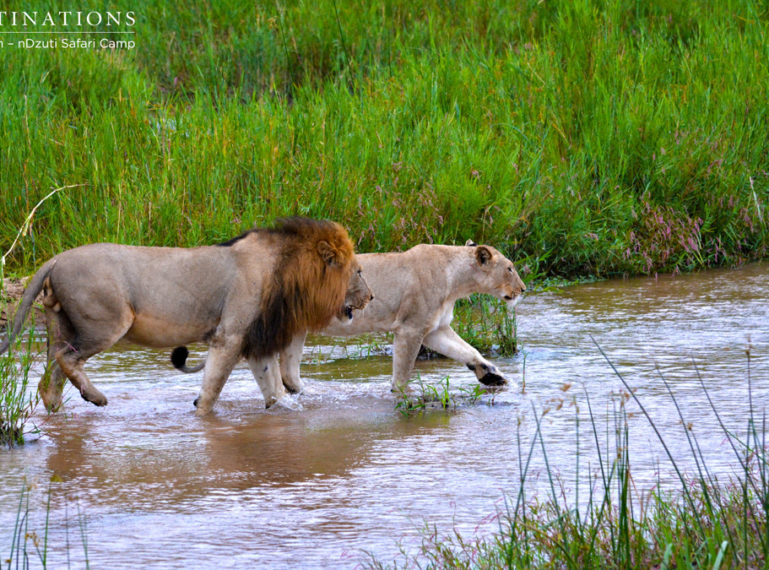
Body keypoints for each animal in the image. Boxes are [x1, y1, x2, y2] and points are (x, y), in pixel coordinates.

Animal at [0, 216, 372, 412]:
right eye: (358, 270)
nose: (370, 296)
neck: (289, 271)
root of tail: (56, 259)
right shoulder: (230, 335)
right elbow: (214, 386)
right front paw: (202, 414)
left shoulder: (254, 338)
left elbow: (271, 387)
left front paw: (280, 411)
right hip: (106, 323)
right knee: (66, 359)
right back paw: (96, 397)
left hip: (61, 325)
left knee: (50, 374)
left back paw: (59, 413)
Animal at [280, 239, 524, 390]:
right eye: (510, 268)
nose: (523, 289)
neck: (456, 283)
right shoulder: (411, 328)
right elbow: (403, 371)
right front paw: (400, 395)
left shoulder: (435, 329)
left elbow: (467, 350)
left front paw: (492, 376)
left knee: (289, 372)